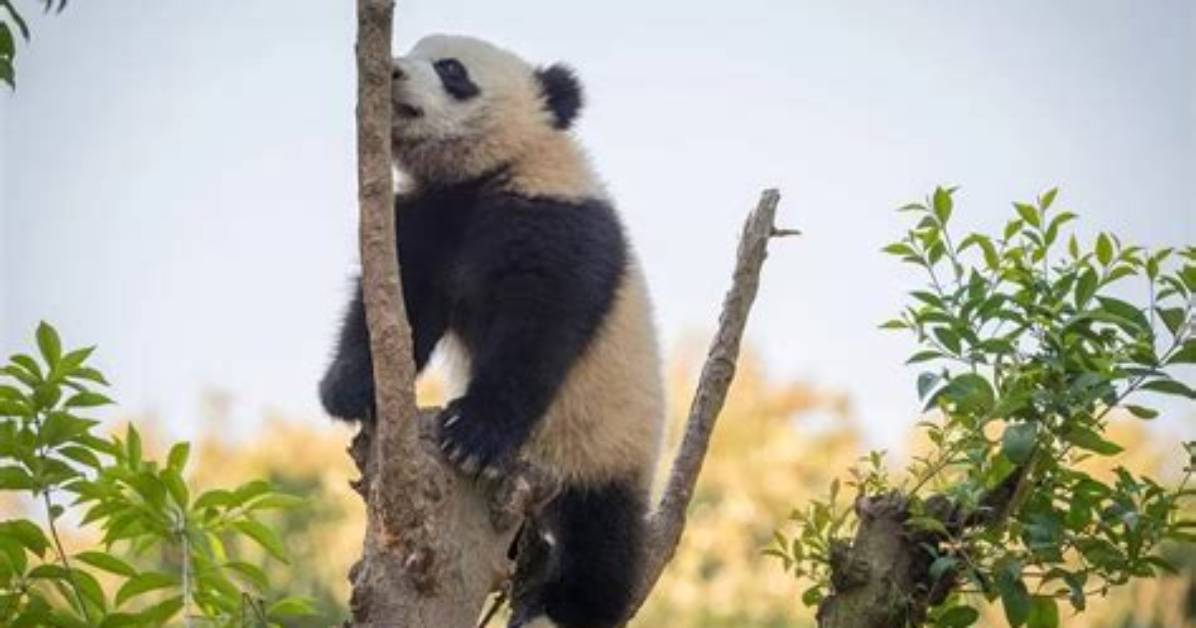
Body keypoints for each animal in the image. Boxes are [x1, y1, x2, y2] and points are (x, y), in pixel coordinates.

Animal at [318, 34, 665, 628]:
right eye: (411, 49)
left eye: (451, 69)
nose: (391, 70)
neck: (483, 173)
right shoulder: (429, 219)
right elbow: (400, 306)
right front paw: (349, 390)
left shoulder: (557, 215)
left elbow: (537, 328)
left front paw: (473, 434)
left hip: (609, 442)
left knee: (602, 538)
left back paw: (563, 608)